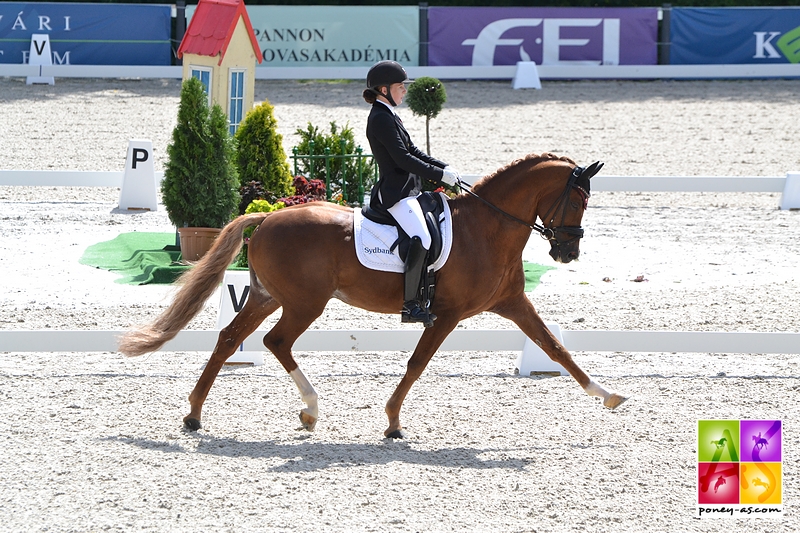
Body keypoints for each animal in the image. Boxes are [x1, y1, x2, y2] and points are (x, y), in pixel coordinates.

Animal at [120, 153, 624, 436]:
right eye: (578, 200)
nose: (567, 252)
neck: (487, 229)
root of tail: (266, 218)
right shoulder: (447, 315)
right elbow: (417, 364)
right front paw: (393, 422)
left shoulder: (513, 303)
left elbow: (554, 347)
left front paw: (607, 395)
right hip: (304, 302)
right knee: (275, 342)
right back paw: (310, 410)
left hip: (267, 296)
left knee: (229, 339)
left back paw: (195, 415)